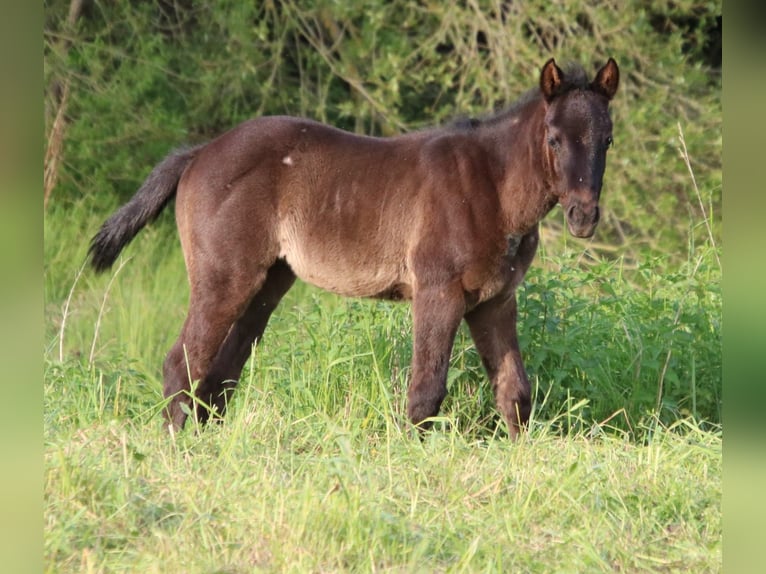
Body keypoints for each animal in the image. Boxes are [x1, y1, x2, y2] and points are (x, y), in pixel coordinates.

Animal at [90, 58, 620, 438]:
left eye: (607, 140)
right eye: (554, 139)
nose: (584, 216)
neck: (491, 186)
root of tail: (199, 152)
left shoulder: (495, 301)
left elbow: (515, 393)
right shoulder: (438, 292)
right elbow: (426, 391)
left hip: (268, 283)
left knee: (220, 375)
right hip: (225, 277)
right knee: (182, 363)